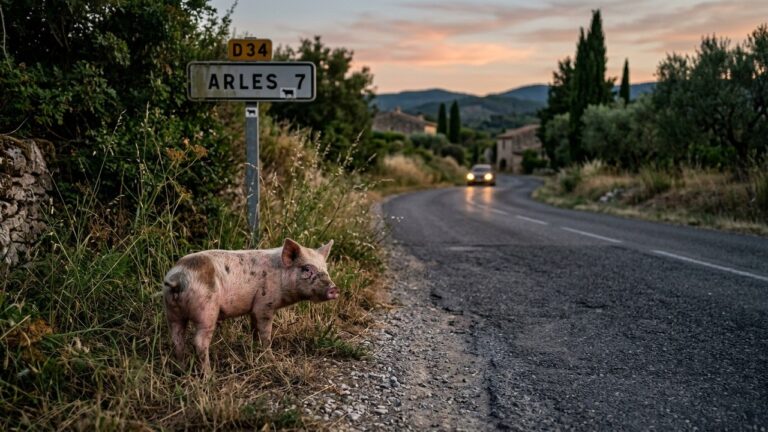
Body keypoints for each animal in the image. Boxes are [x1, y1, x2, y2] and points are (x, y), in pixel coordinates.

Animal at [162, 238, 338, 374]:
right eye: (307, 268)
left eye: (325, 269)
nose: (334, 289)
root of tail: (178, 279)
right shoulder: (264, 305)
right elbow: (265, 334)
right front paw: (271, 359)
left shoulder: (254, 309)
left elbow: (255, 331)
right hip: (206, 311)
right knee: (198, 342)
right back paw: (209, 376)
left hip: (172, 312)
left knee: (177, 339)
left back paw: (182, 370)